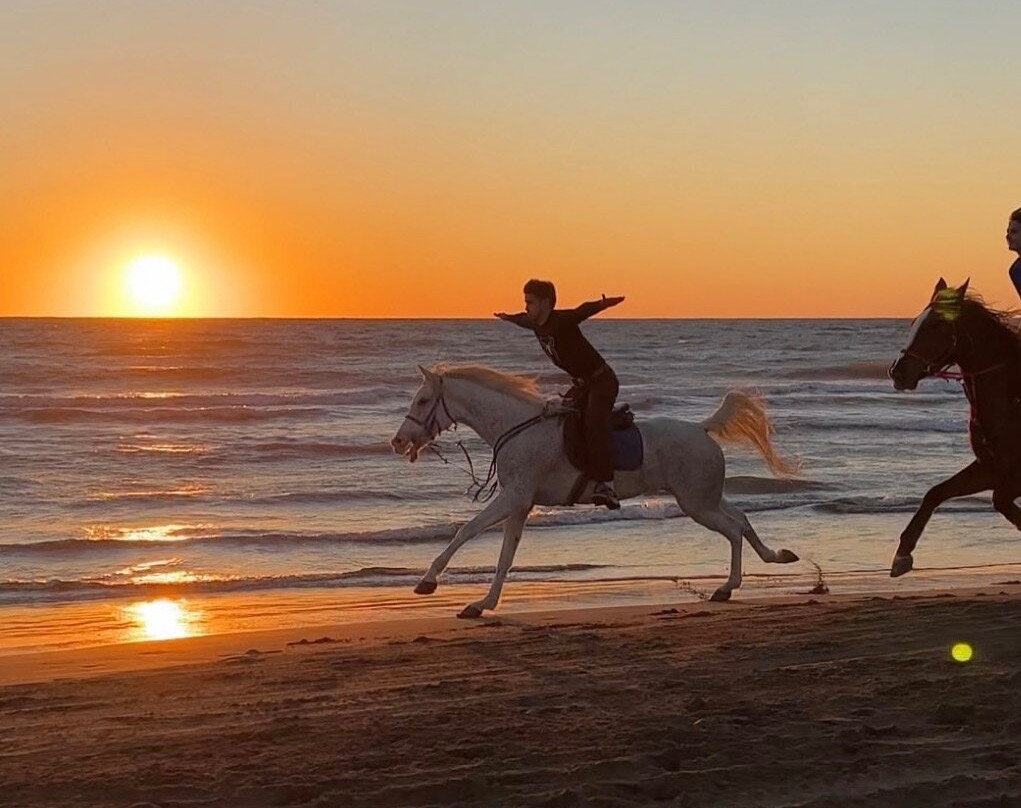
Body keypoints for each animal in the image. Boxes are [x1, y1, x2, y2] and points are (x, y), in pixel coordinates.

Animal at [390, 364, 800, 618]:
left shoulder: (513, 498)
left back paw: (727, 587)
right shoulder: (521, 504)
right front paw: (482, 604)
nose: (398, 442)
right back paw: (778, 556)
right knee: (741, 519)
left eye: (422, 401)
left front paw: (427, 582)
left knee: (732, 529)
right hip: (705, 497)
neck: (516, 427)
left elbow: (467, 531)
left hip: (697, 503)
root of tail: (702, 429)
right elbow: (506, 556)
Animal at [888, 278, 1021, 577]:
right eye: (914, 322)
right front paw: (902, 555)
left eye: (937, 325)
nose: (898, 372)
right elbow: (935, 493)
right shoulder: (991, 468)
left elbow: (1001, 502)